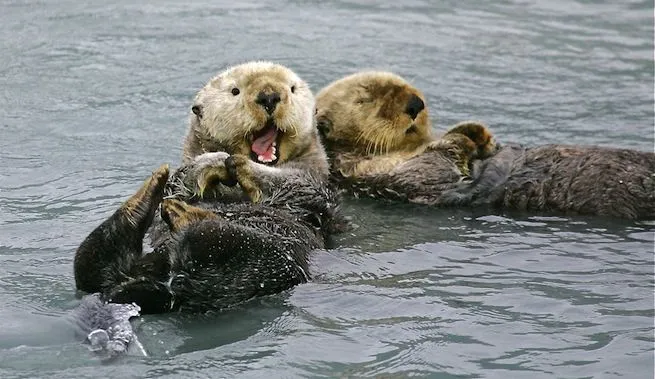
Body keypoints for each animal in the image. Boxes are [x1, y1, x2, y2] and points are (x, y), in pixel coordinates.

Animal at [316, 71, 652, 220]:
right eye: (364, 100)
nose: (415, 103)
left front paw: (479, 134)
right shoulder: (373, 175)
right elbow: (431, 167)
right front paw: (463, 140)